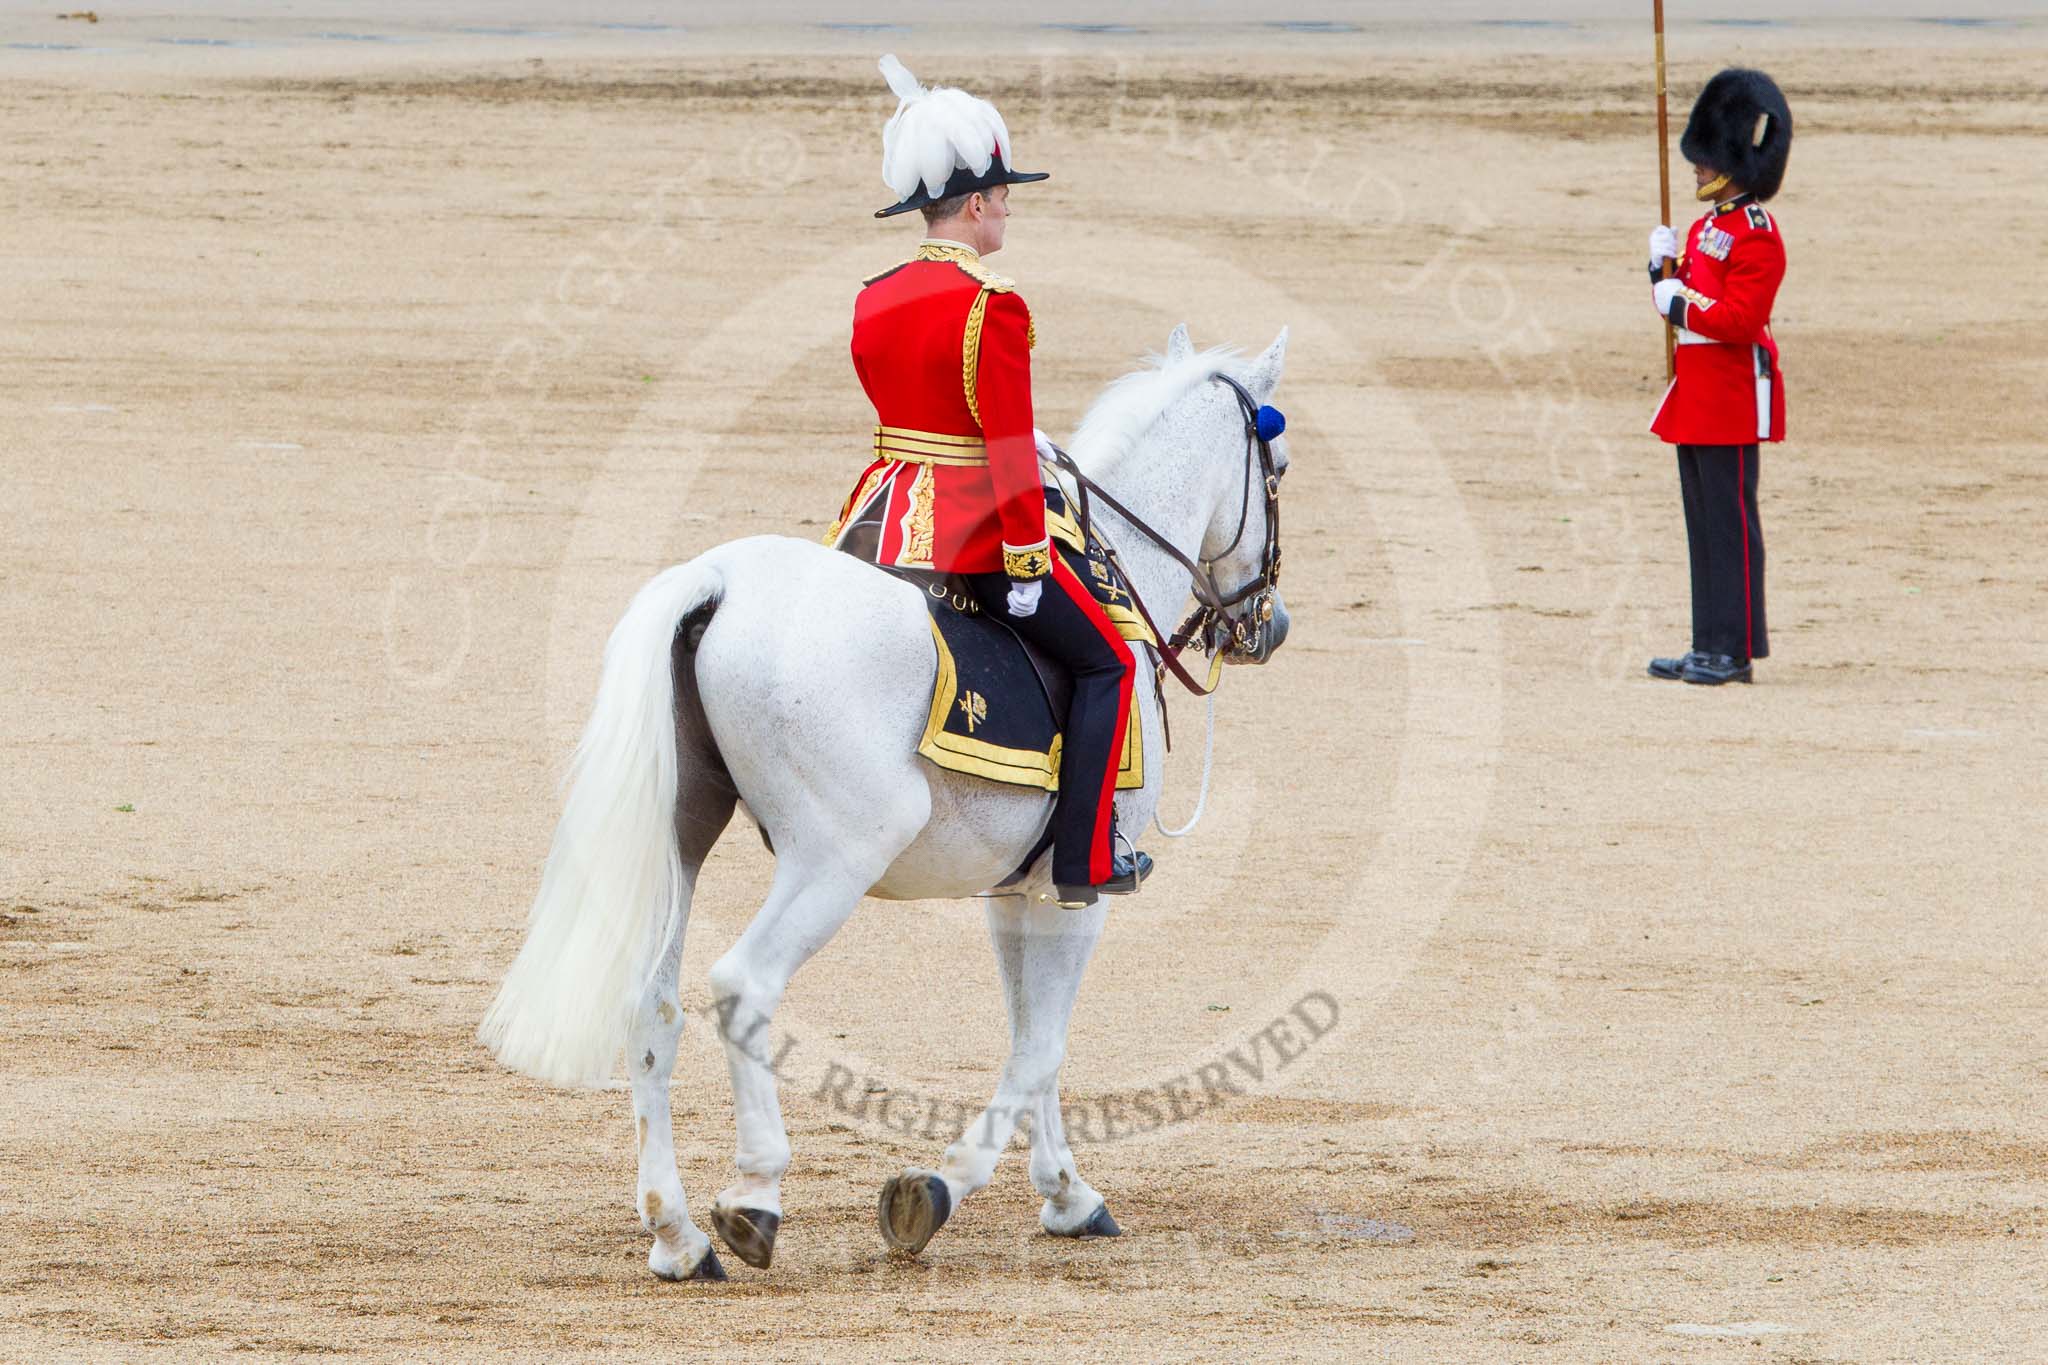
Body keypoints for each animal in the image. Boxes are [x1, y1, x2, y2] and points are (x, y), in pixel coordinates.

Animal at [475, 325, 1294, 1285]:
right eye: (1277, 465)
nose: (1269, 624)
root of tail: (717, 582)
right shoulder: (1084, 883)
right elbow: (1040, 1045)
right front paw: (939, 1187)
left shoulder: (1022, 890)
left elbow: (1031, 1033)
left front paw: (1067, 1193)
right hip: (837, 856)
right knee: (742, 984)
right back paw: (753, 1195)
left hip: (685, 837)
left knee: (654, 1002)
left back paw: (677, 1234)